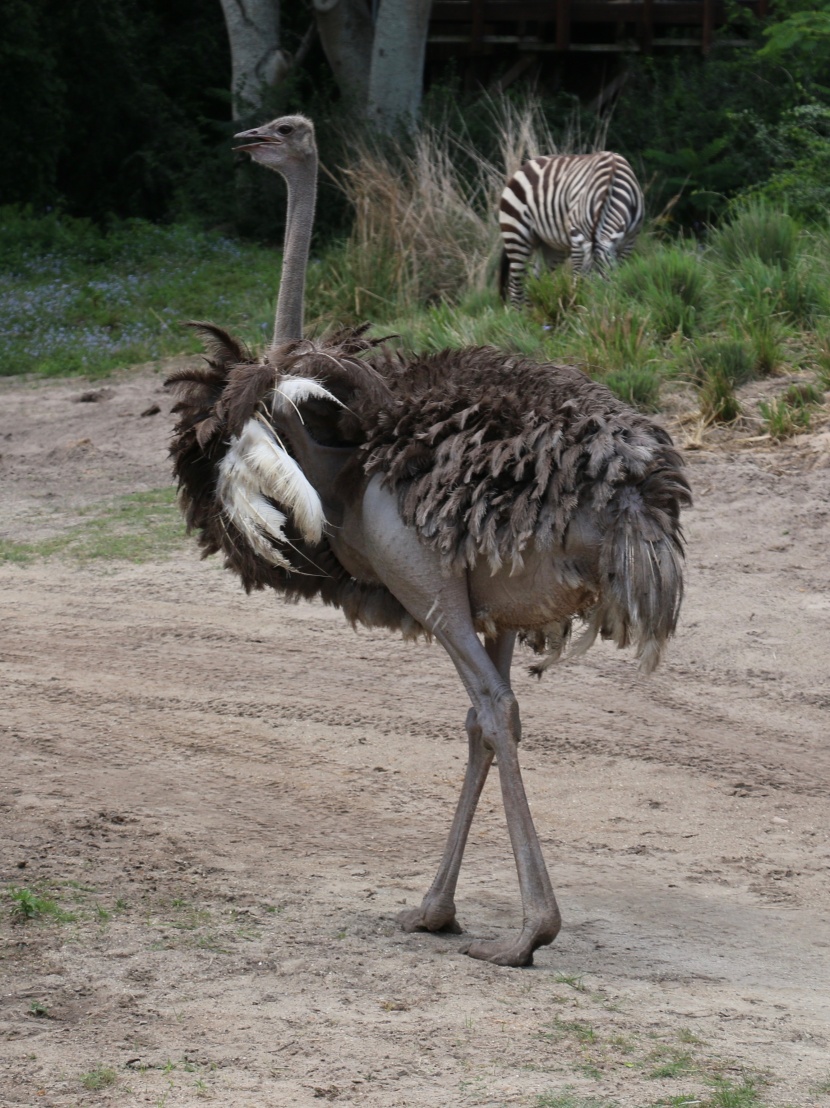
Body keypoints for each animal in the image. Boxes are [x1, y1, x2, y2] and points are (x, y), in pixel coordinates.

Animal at [496, 152, 642, 308]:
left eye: (603, 285)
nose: (595, 311)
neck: (610, 184)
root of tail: (525, 165)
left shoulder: (629, 241)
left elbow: (619, 274)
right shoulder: (577, 237)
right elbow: (576, 277)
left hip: (551, 247)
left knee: (533, 281)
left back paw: (533, 312)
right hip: (516, 235)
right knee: (515, 285)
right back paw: (520, 314)